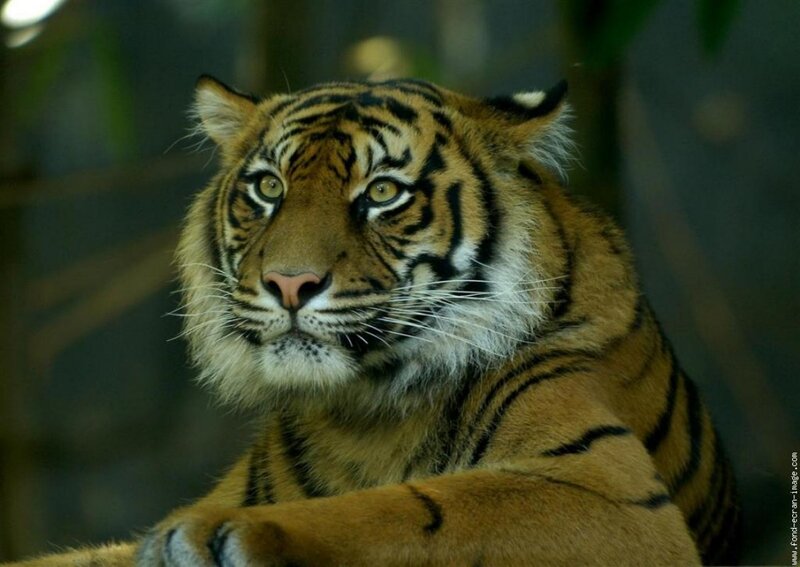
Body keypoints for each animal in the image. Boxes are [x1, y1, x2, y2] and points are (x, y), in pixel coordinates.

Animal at [14, 75, 741, 566]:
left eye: (383, 193)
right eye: (269, 188)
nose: (289, 283)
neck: (361, 416)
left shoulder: (610, 495)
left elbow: (413, 509)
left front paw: (217, 535)